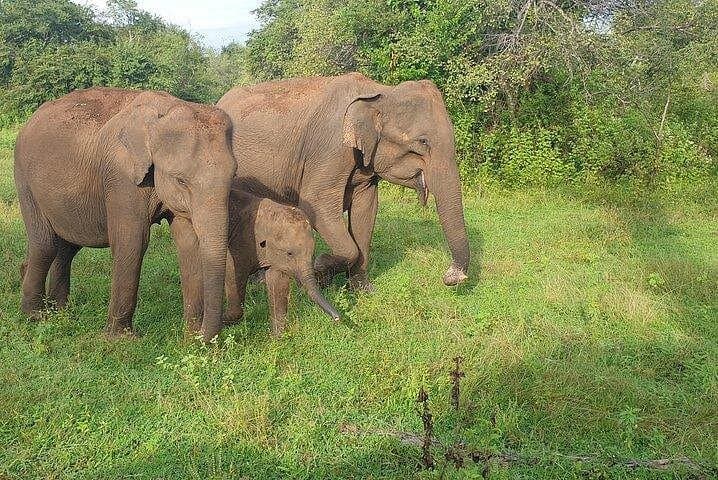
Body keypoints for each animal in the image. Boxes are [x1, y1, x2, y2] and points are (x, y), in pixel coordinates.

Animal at [14, 87, 237, 342]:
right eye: (181, 180)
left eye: (233, 176)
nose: (205, 337)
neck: (162, 113)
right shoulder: (121, 174)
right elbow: (133, 240)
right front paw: (121, 339)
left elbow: (188, 242)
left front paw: (190, 336)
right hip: (25, 179)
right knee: (45, 243)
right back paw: (35, 316)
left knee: (67, 246)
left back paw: (59, 311)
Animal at [217, 72, 469, 292]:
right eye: (423, 141)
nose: (450, 276)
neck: (380, 91)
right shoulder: (330, 150)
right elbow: (317, 204)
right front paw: (320, 270)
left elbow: (365, 212)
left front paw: (362, 289)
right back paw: (257, 282)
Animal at [217, 188, 339, 337]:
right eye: (290, 253)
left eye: (313, 254)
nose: (337, 318)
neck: (271, 212)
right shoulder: (239, 241)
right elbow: (232, 273)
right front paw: (223, 320)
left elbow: (278, 281)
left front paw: (277, 338)